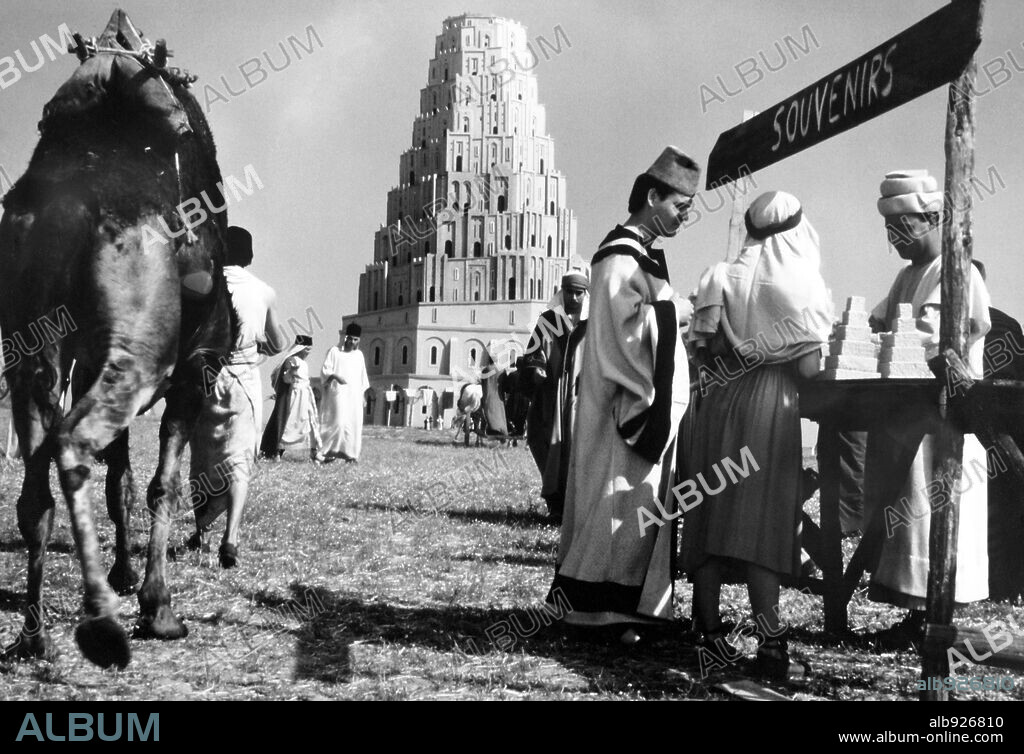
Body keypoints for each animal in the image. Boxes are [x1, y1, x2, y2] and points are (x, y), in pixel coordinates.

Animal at [0, 10, 232, 663]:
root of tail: (71, 205)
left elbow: (122, 481)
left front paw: (126, 577)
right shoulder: (195, 368)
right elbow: (162, 485)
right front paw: (157, 606)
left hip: (30, 345)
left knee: (37, 487)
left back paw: (34, 636)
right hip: (137, 356)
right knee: (73, 446)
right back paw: (102, 623)